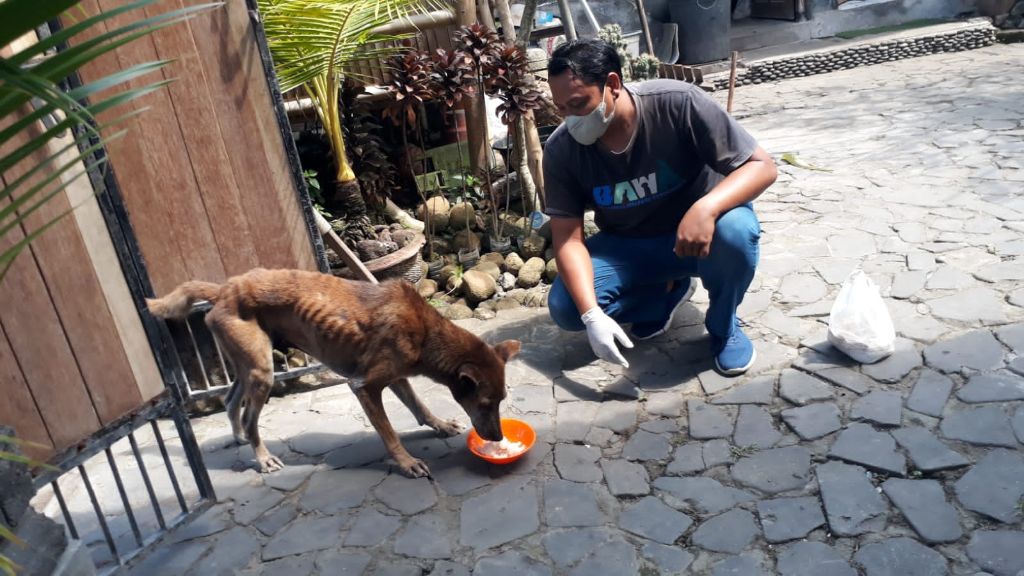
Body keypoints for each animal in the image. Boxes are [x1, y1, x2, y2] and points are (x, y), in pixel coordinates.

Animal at [146, 268, 520, 475]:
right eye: (485, 404)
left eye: (501, 400)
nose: (497, 438)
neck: (428, 332)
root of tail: (225, 289)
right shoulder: (365, 386)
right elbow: (390, 433)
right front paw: (406, 463)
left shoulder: (396, 376)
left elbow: (420, 406)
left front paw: (439, 425)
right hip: (262, 372)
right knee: (251, 416)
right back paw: (262, 457)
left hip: (249, 364)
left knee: (229, 400)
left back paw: (239, 437)